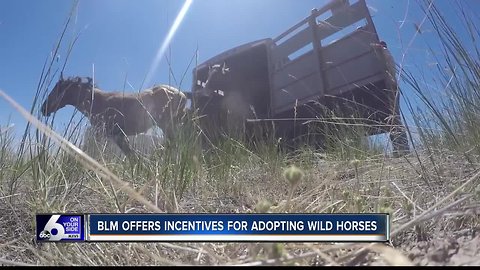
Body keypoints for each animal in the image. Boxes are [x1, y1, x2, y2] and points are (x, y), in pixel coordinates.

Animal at [40, 75, 187, 156]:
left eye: (57, 89)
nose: (43, 108)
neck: (96, 101)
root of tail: (182, 94)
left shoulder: (105, 134)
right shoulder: (118, 136)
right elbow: (131, 155)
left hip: (167, 126)